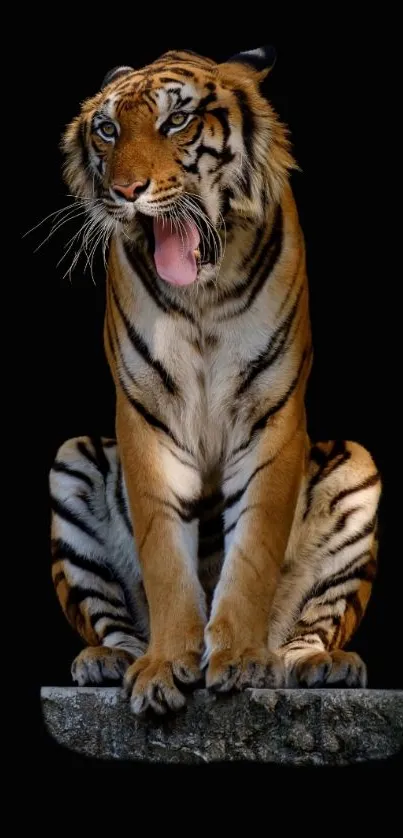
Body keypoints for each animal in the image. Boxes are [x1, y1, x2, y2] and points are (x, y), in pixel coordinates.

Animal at [49, 46, 384, 716]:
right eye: (107, 130)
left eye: (176, 121)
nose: (127, 191)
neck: (202, 295)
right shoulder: (146, 418)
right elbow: (164, 554)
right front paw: (161, 669)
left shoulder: (271, 415)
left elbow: (252, 549)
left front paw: (241, 660)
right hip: (73, 462)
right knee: (113, 621)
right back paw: (106, 661)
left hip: (355, 470)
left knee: (311, 628)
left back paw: (320, 666)